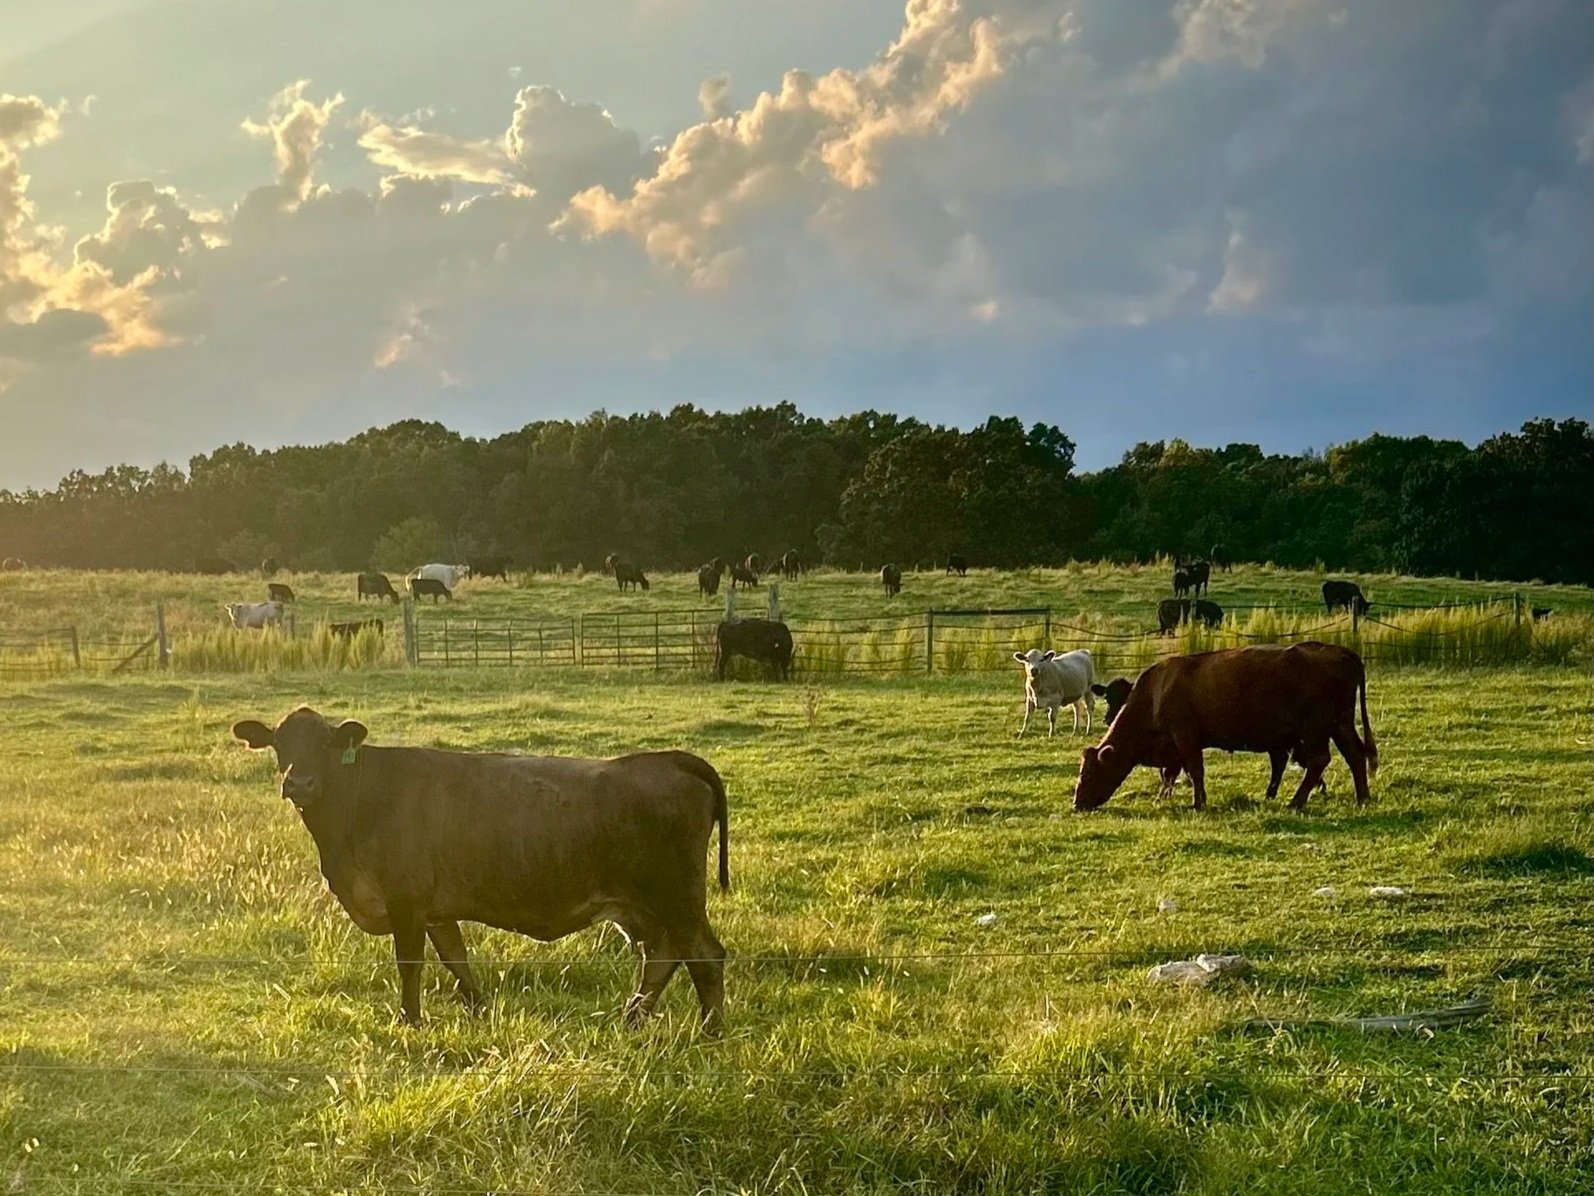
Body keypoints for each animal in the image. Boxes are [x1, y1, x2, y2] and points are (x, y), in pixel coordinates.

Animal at [230, 707, 730, 1031]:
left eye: (326, 745)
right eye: (279, 745)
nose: (299, 783)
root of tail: (667, 759)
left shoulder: (406, 901)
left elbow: (410, 963)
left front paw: (410, 1020)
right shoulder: (435, 911)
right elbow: (456, 958)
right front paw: (480, 1010)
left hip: (677, 897)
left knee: (704, 956)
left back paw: (709, 1032)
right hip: (652, 908)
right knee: (663, 955)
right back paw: (633, 1017)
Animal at [1074, 642, 1377, 813]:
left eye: (1089, 773)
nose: (1077, 803)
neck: (1156, 692)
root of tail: (1343, 653)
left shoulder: (1186, 736)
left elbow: (1195, 770)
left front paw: (1198, 803)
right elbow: (1172, 774)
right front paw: (1166, 798)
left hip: (1315, 729)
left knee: (1319, 760)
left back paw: (1296, 802)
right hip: (1340, 725)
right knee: (1355, 755)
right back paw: (1362, 798)